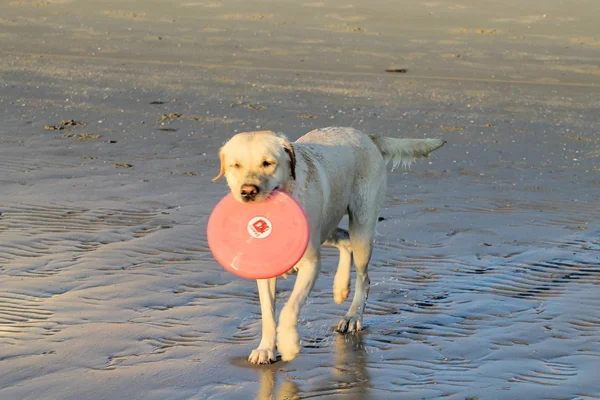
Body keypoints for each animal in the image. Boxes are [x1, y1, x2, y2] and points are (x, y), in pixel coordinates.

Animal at [212, 127, 446, 362]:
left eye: (268, 163)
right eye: (235, 165)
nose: (248, 191)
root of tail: (365, 135)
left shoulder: (311, 264)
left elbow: (289, 308)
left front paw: (289, 344)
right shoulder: (266, 269)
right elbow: (268, 313)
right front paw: (265, 349)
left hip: (362, 226)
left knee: (364, 277)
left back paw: (352, 316)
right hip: (328, 226)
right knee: (344, 239)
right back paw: (340, 287)